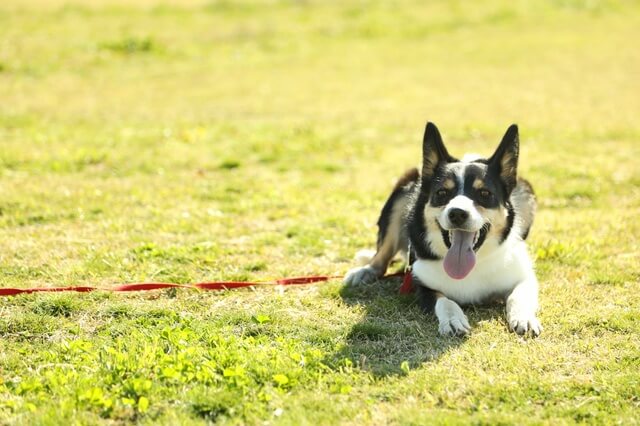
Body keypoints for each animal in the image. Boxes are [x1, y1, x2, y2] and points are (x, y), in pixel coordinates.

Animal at [344, 122, 540, 336]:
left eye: (484, 193)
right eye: (442, 193)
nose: (457, 213)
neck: (472, 267)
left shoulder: (522, 274)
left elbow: (519, 294)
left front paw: (524, 317)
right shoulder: (422, 284)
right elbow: (445, 301)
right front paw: (453, 320)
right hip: (403, 190)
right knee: (382, 254)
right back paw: (364, 271)